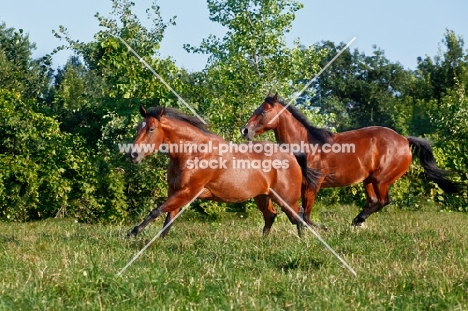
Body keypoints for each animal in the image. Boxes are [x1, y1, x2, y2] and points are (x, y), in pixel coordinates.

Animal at [126, 105, 320, 239]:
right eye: (137, 128)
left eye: (151, 129)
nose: (133, 155)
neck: (193, 152)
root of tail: (291, 154)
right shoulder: (175, 191)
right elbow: (168, 220)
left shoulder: (187, 191)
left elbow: (156, 211)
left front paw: (132, 233)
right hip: (262, 196)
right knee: (271, 216)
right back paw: (263, 242)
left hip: (286, 197)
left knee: (299, 215)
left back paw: (302, 241)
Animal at [239, 92, 458, 227]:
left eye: (263, 111)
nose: (245, 130)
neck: (306, 145)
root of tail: (404, 140)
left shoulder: (312, 184)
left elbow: (307, 211)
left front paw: (317, 228)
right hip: (368, 180)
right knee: (374, 201)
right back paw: (357, 221)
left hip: (380, 179)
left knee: (383, 200)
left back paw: (357, 220)